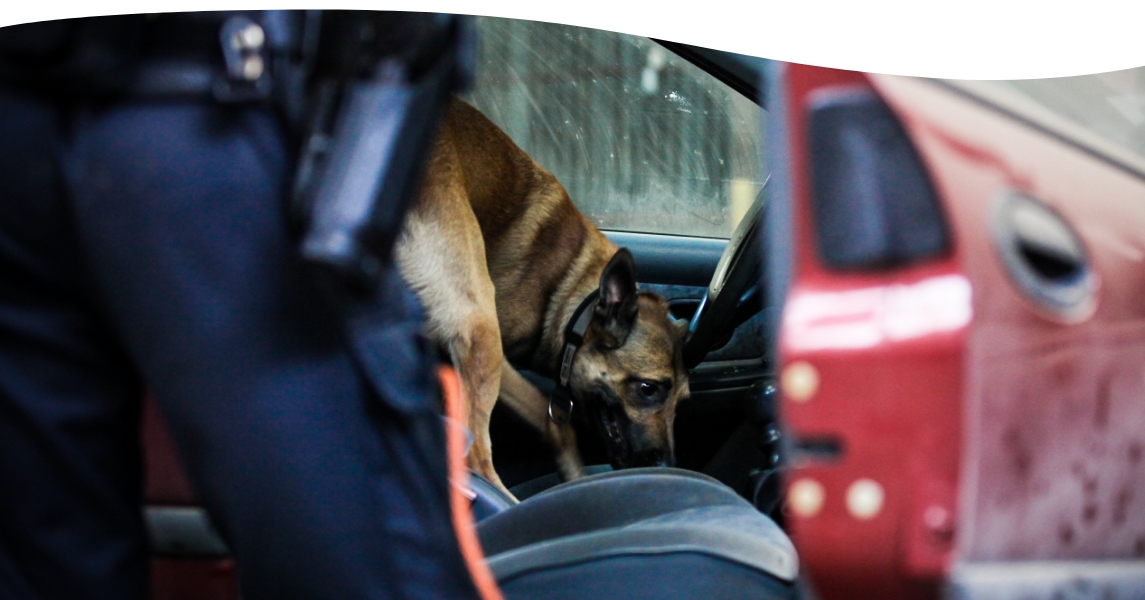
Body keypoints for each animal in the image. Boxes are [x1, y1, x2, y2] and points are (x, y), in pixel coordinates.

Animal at [393, 99, 687, 496]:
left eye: (681, 400)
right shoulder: (497, 359)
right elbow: (556, 425)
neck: (572, 292)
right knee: (475, 454)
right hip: (479, 327)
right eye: (648, 388)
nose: (667, 467)